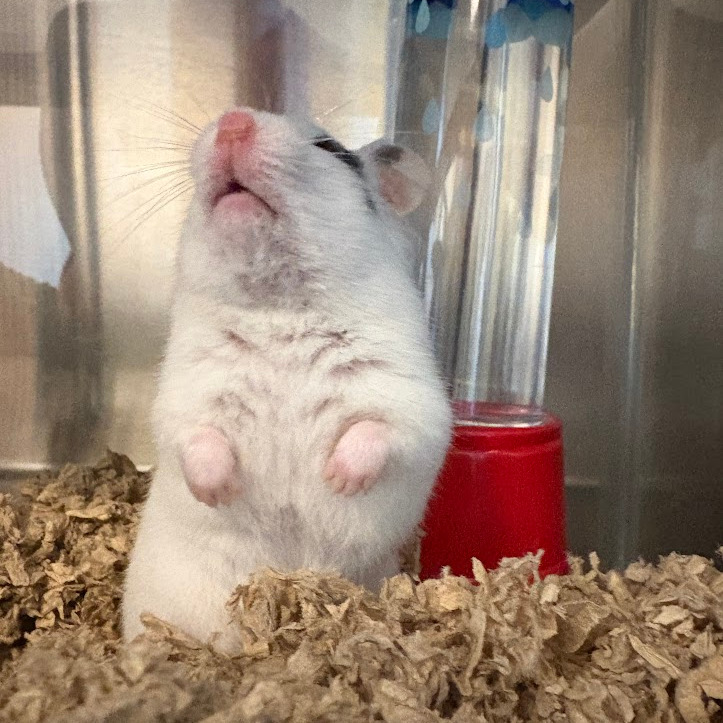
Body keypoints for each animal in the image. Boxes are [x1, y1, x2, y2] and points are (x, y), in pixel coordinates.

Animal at [122, 107, 452, 653]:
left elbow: (377, 431)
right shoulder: (186, 394)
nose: (234, 121)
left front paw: (338, 479)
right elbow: (197, 439)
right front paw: (220, 492)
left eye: (330, 147)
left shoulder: (409, 398)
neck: (279, 309)